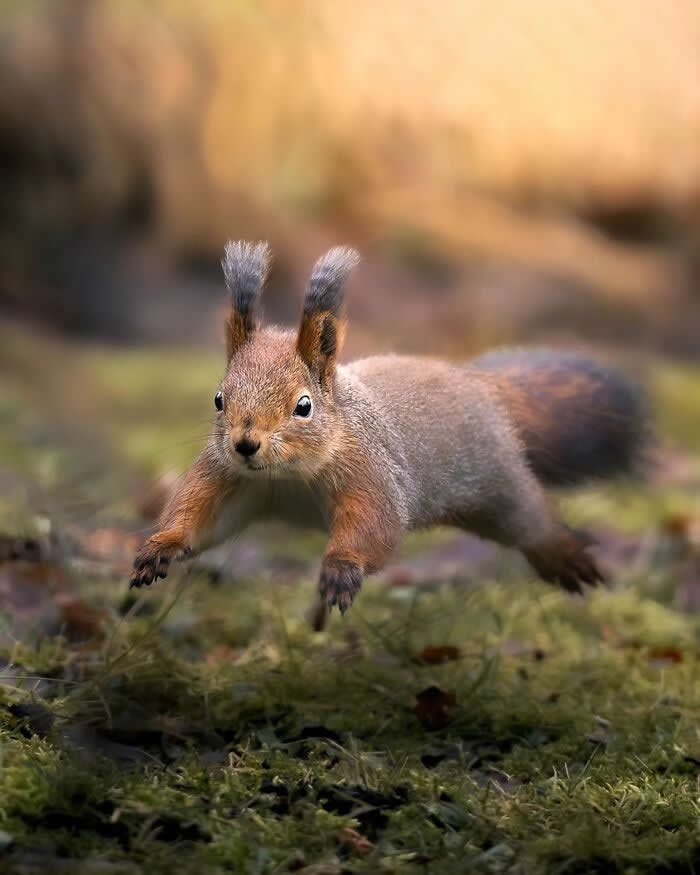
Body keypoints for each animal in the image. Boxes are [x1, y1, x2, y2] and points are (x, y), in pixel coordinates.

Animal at [130, 241, 648, 621]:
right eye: (219, 399)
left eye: (304, 406)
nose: (244, 444)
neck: (288, 477)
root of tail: (479, 384)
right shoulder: (229, 479)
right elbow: (198, 518)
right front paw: (160, 547)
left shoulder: (370, 472)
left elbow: (375, 526)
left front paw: (341, 569)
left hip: (497, 483)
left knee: (532, 518)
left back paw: (566, 554)